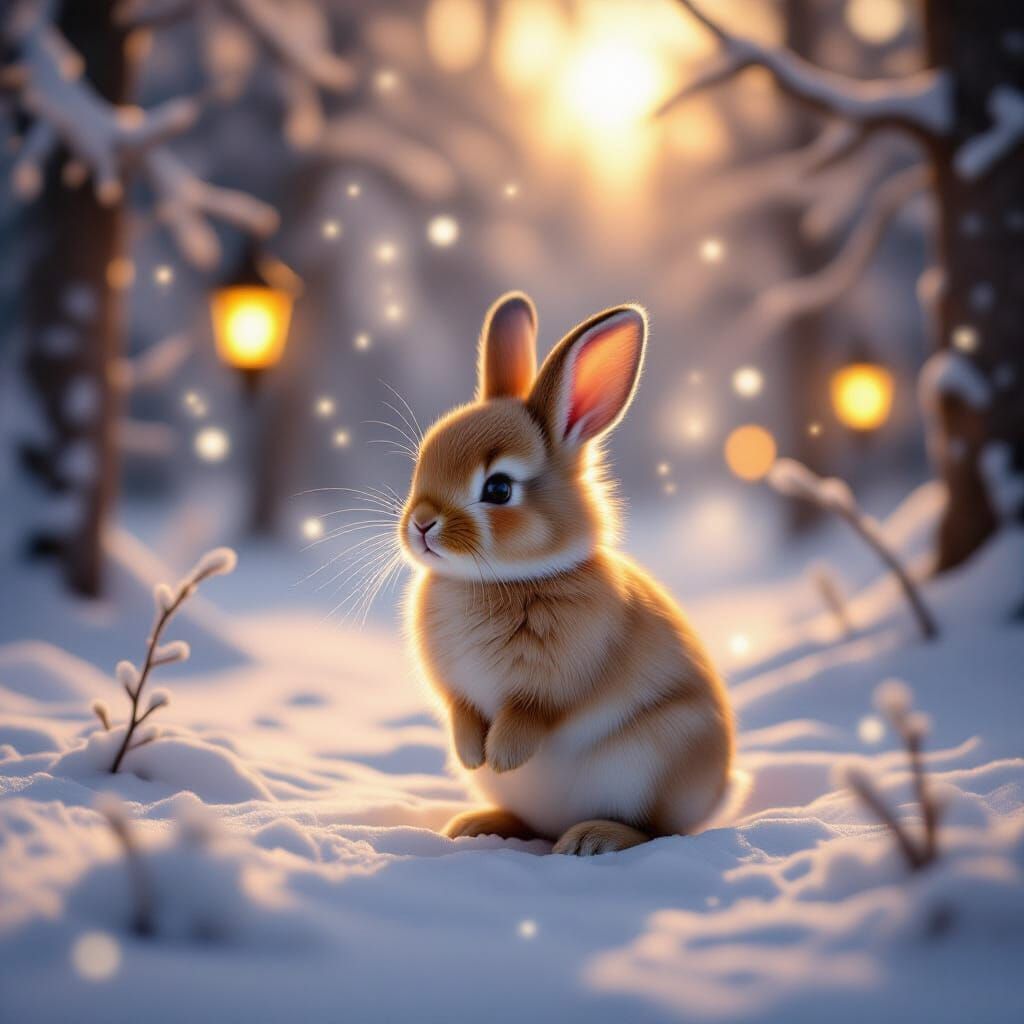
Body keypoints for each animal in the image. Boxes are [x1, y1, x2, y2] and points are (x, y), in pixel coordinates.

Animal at [399, 292, 734, 856]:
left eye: (498, 489)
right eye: (421, 463)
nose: (422, 524)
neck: (495, 579)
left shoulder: (557, 681)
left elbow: (533, 713)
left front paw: (503, 754)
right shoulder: (455, 689)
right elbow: (461, 709)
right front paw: (472, 753)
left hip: (657, 760)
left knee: (655, 830)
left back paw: (590, 839)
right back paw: (478, 825)